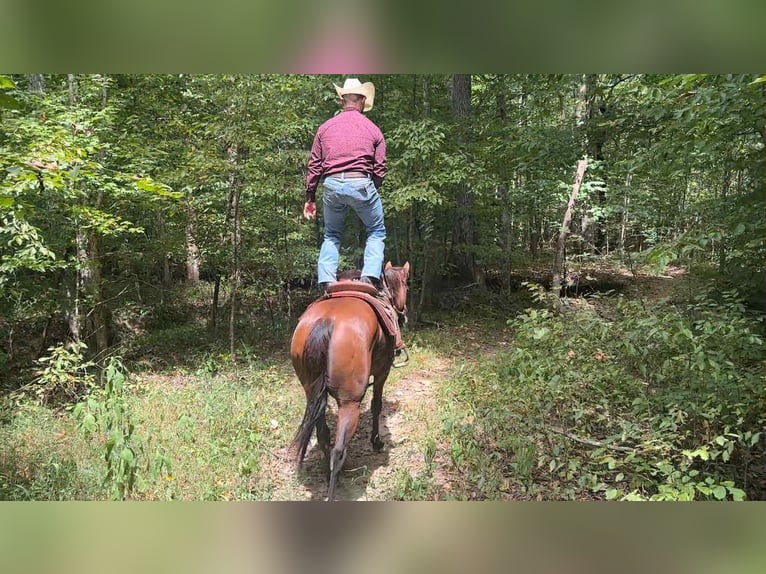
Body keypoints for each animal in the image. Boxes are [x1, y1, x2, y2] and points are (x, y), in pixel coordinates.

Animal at [290, 261, 409, 500]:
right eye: (407, 285)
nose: (404, 313)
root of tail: (326, 321)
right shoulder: (382, 373)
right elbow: (376, 405)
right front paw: (377, 441)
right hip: (349, 402)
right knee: (338, 449)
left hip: (313, 394)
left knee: (323, 435)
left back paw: (328, 475)